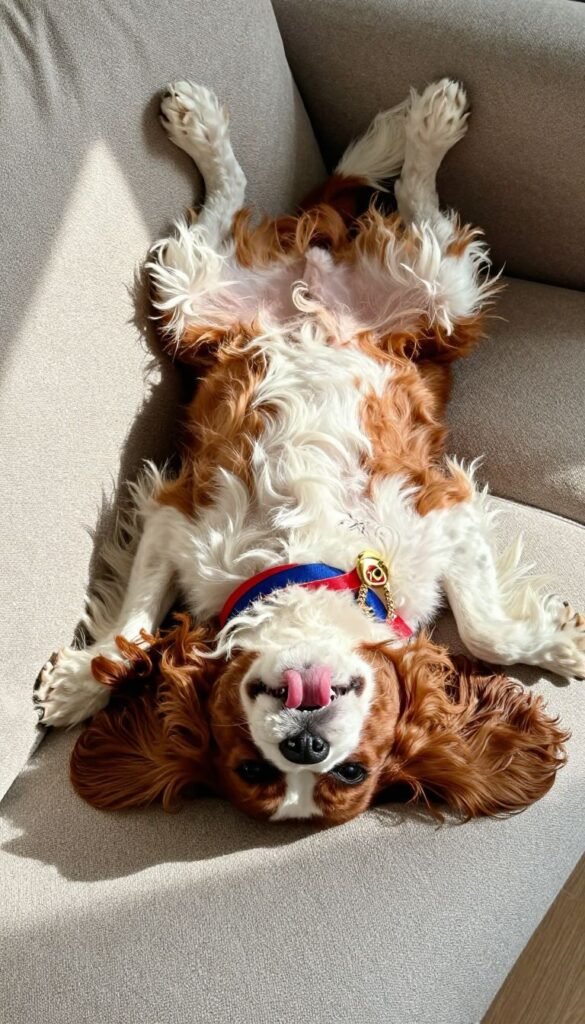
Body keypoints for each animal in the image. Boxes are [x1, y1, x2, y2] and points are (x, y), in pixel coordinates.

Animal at [35, 79, 583, 825]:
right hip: (186, 290)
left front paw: (557, 641)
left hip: (436, 292)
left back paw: (428, 125)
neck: (310, 566)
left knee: (422, 213)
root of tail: (311, 267)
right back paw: (206, 125)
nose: (304, 743)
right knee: (231, 199)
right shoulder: (179, 517)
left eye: (352, 772)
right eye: (252, 767)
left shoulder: (441, 508)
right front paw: (79, 686)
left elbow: (483, 633)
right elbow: (132, 636)